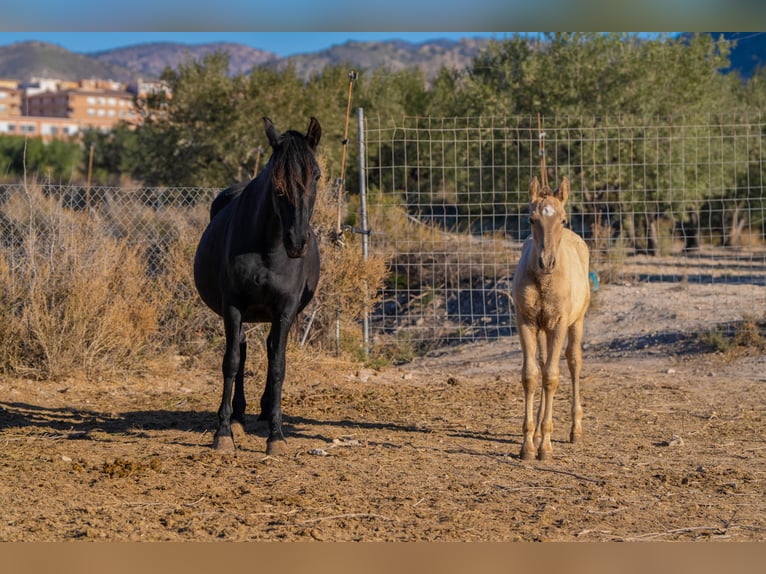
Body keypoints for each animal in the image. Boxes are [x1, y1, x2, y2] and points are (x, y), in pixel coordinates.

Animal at [193, 116, 322, 455]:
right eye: (276, 182)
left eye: (316, 175)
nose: (297, 242)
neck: (269, 248)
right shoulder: (233, 306)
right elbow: (231, 362)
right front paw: (223, 432)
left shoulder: (285, 311)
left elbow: (278, 365)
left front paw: (276, 436)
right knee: (242, 349)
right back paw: (238, 416)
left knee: (269, 350)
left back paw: (264, 414)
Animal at [511, 176, 590, 461]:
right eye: (531, 219)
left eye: (563, 219)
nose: (546, 262)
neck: (544, 280)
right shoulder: (526, 322)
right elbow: (532, 376)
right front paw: (528, 445)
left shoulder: (558, 324)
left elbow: (552, 377)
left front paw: (545, 446)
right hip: (543, 329)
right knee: (543, 364)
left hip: (576, 322)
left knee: (574, 363)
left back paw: (576, 430)